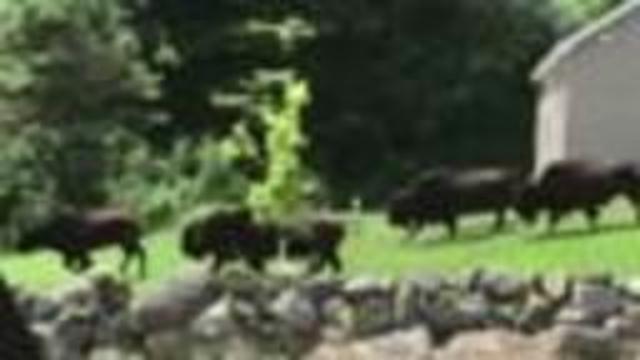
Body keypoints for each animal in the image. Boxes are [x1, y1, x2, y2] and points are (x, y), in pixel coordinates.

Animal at [15, 208, 146, 278]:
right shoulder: (71, 253)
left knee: (139, 252)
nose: (18, 246)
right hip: (125, 242)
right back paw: (126, 271)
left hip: (128, 240)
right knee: (135, 252)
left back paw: (135, 273)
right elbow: (70, 266)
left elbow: (84, 265)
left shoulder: (79, 251)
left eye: (26, 235)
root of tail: (137, 220)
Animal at [388, 167, 524, 239]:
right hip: (500, 208)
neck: (418, 195)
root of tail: (508, 176)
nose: (390, 222)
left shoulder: (448, 215)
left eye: (396, 206)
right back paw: (494, 229)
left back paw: (495, 230)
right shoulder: (427, 217)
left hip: (501, 207)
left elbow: (451, 226)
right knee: (500, 218)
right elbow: (418, 228)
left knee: (500, 218)